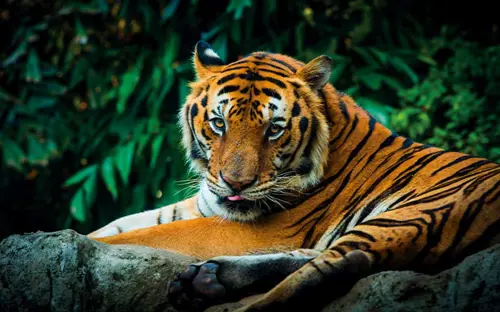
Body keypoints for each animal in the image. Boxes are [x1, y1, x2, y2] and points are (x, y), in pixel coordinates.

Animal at [92, 41, 500, 312]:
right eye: (219, 123)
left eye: (274, 129)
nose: (236, 184)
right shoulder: (205, 204)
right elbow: (119, 226)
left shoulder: (257, 229)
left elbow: (142, 236)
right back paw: (209, 279)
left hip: (415, 212)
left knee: (335, 264)